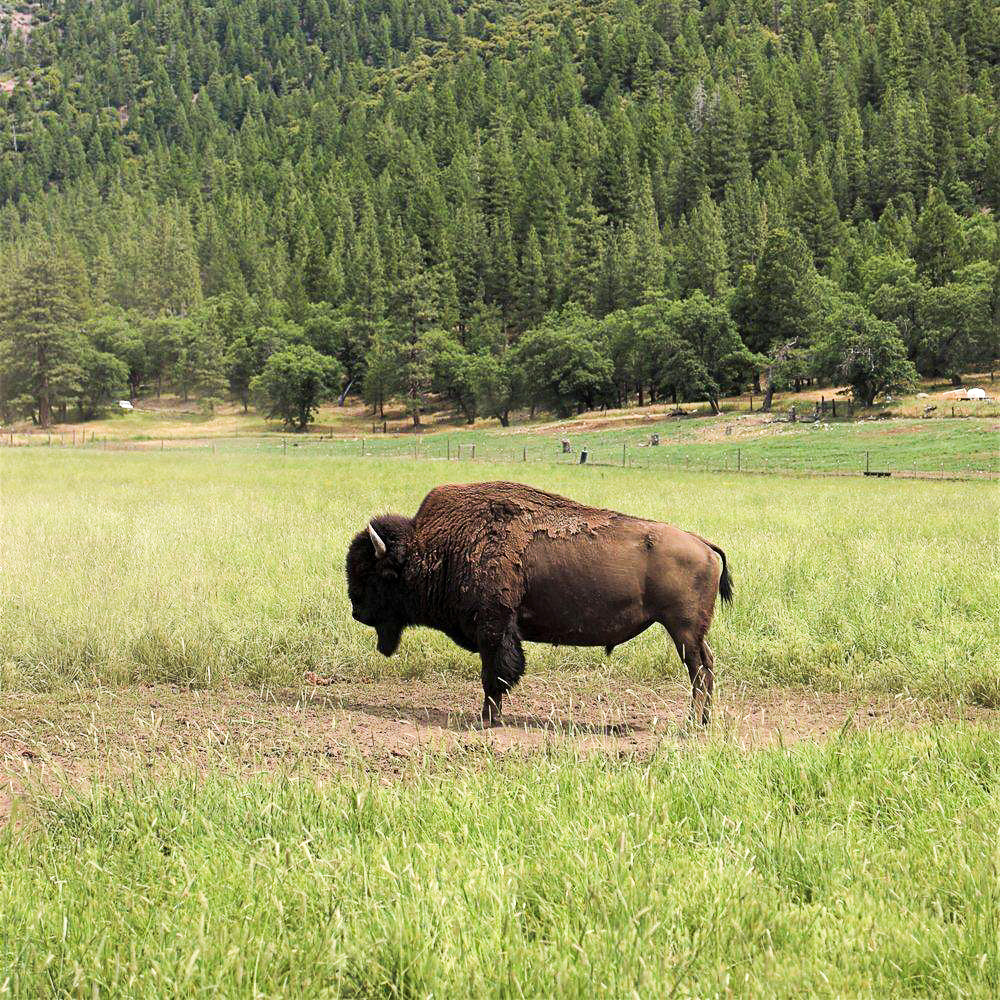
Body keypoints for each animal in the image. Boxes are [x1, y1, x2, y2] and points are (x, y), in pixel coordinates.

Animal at [346, 481, 731, 727]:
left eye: (374, 574)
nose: (357, 612)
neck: (437, 545)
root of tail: (703, 544)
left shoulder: (494, 628)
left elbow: (494, 675)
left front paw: (486, 720)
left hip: (683, 629)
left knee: (698, 670)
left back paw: (691, 724)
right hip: (691, 632)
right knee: (707, 666)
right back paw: (702, 721)